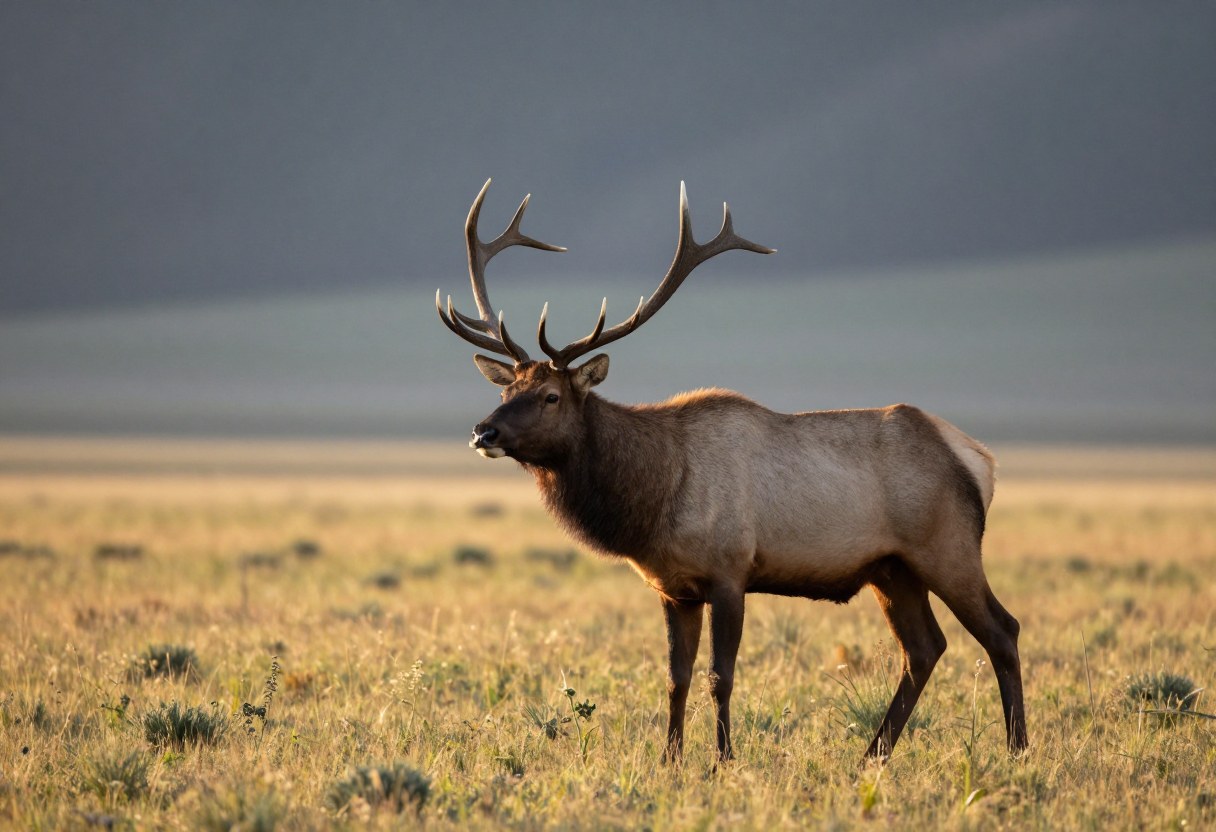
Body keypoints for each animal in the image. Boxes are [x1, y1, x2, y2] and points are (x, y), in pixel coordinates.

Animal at [435, 179, 1027, 763]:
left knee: (1002, 629)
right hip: (892, 568)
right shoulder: (673, 588)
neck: (654, 496)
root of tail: (979, 459)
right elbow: (675, 677)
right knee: (924, 647)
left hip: (948, 547)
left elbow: (721, 676)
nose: (483, 432)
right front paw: (670, 759)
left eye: (551, 396)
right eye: (506, 390)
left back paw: (1017, 749)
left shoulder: (730, 570)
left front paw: (723, 759)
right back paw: (872, 756)